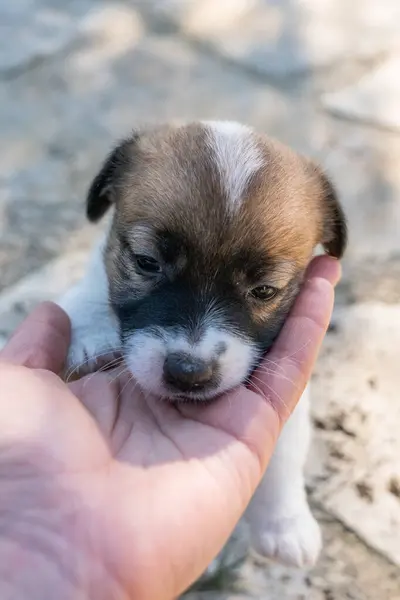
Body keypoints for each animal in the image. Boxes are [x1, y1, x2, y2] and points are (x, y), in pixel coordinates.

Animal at [59, 120, 346, 568]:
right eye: (146, 262)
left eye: (265, 290)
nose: (188, 374)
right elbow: (88, 290)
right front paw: (85, 330)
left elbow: (283, 458)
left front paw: (286, 524)